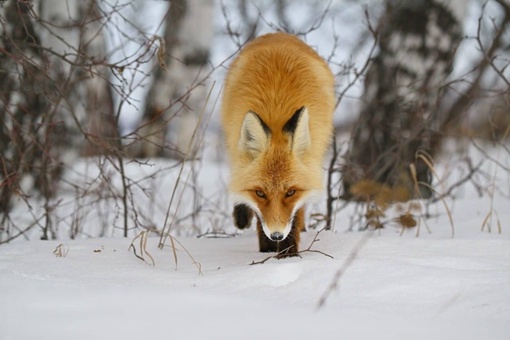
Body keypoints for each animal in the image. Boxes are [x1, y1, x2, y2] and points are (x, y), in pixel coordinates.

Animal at [220, 32, 334, 255]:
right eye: (260, 193)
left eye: (290, 192)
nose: (276, 235)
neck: (276, 110)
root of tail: (278, 34)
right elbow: (258, 217)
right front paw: (268, 250)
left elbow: (296, 215)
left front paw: (288, 254)